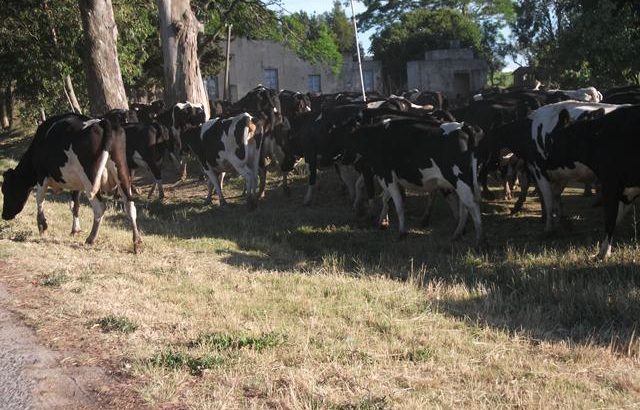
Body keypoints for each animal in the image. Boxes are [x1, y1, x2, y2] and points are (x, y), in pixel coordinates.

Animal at [0, 113, 141, 251]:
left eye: (6, 190)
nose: (4, 215)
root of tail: (103, 122)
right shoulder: (76, 183)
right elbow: (74, 205)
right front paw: (75, 230)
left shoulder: (42, 175)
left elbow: (39, 199)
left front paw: (42, 226)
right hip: (122, 173)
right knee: (130, 206)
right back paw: (137, 243)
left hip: (90, 179)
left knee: (100, 207)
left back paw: (91, 238)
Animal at [544, 105, 640, 260]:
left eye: (553, 140)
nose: (545, 165)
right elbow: (615, 218)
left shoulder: (610, 185)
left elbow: (610, 220)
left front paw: (603, 254)